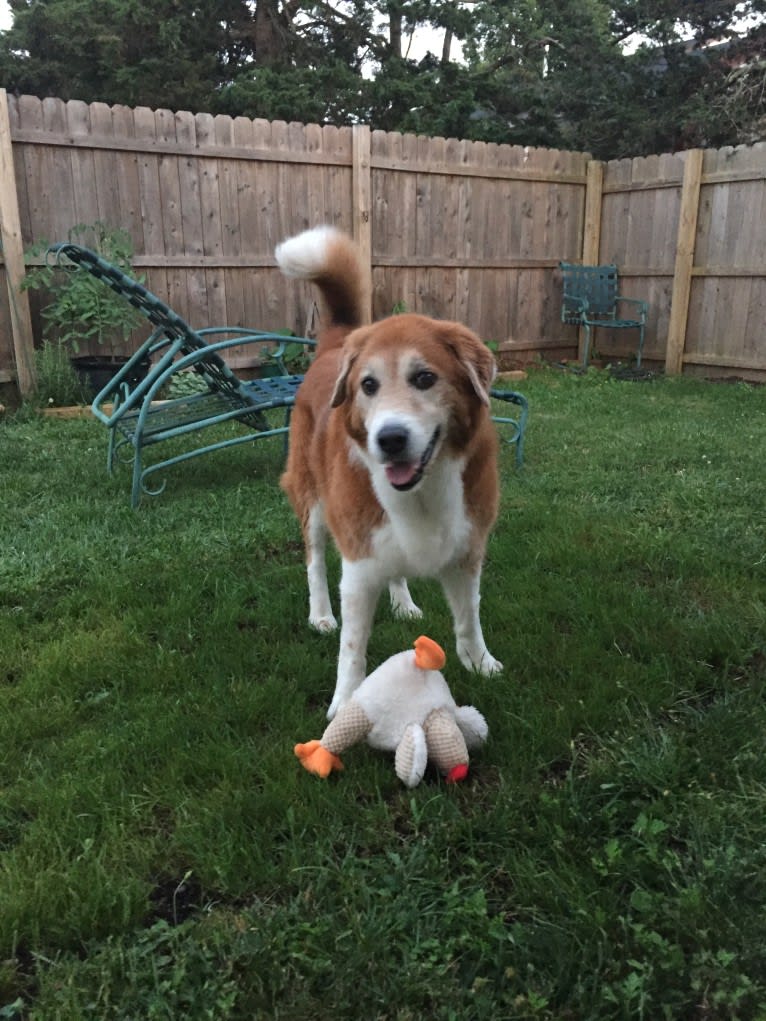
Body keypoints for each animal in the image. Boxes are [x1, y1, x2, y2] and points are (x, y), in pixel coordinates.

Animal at [277, 223, 504, 718]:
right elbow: (352, 648)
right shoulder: (359, 567)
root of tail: (336, 343)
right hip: (314, 502)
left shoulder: (466, 549)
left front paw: (480, 663)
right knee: (314, 561)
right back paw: (320, 614)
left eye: (425, 378)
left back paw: (403, 603)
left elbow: (469, 618)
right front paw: (345, 704)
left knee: (396, 570)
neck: (422, 489)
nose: (390, 439)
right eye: (368, 385)